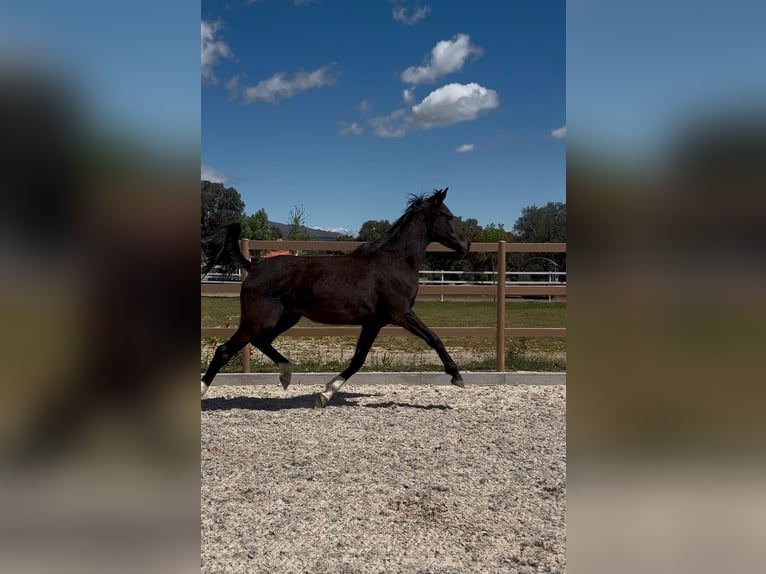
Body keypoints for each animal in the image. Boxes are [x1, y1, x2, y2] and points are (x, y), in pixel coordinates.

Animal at [200, 188, 470, 407]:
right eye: (448, 216)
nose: (465, 245)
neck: (396, 261)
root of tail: (253, 266)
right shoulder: (401, 314)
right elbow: (434, 338)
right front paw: (457, 377)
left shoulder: (373, 323)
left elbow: (358, 359)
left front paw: (326, 393)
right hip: (258, 320)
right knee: (225, 350)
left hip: (286, 318)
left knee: (261, 342)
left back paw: (286, 375)